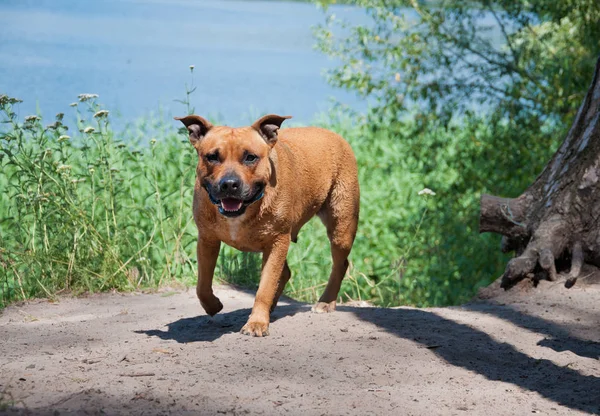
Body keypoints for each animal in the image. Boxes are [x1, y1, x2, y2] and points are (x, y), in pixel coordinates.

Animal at [176, 113, 358, 334]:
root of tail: (335, 136)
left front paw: (257, 323)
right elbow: (202, 284)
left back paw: (325, 302)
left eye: (250, 157)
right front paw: (213, 306)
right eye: (212, 157)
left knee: (340, 264)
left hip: (341, 228)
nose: (229, 184)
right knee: (286, 272)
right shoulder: (207, 240)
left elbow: (265, 287)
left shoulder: (276, 242)